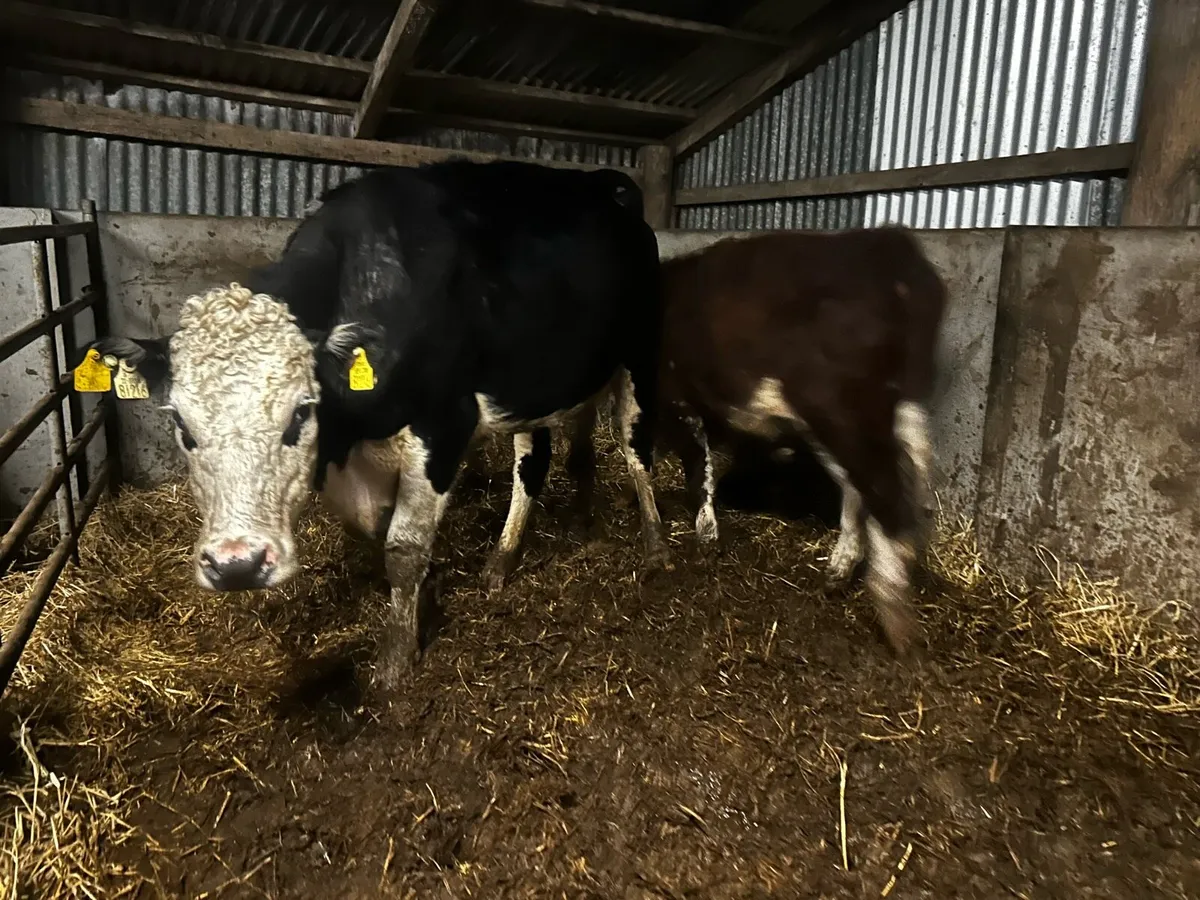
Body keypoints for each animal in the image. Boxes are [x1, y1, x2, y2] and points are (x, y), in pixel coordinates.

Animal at [83, 159, 671, 690]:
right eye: (181, 424)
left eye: (301, 411)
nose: (238, 565)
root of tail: (602, 184)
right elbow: (380, 534)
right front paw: (423, 598)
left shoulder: (443, 426)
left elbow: (403, 548)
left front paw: (396, 658)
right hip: (533, 381)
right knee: (535, 459)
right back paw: (505, 559)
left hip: (639, 354)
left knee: (634, 445)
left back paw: (656, 547)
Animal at [565, 228, 946, 657]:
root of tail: (888, 243)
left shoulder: (669, 394)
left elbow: (685, 463)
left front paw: (699, 536)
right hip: (898, 410)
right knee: (883, 482)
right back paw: (844, 572)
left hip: (841, 409)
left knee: (882, 491)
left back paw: (893, 610)